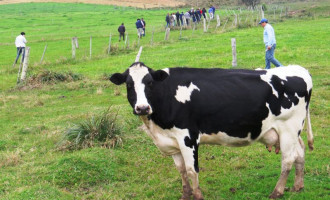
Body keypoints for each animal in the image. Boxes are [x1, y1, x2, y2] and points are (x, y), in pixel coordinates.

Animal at [109, 62, 314, 198]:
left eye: (150, 83)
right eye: (129, 84)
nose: (142, 108)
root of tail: (299, 69)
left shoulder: (188, 137)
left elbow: (192, 170)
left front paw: (197, 196)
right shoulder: (172, 141)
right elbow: (181, 170)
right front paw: (185, 195)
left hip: (288, 128)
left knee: (287, 159)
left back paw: (277, 192)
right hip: (291, 132)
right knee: (300, 151)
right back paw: (298, 186)